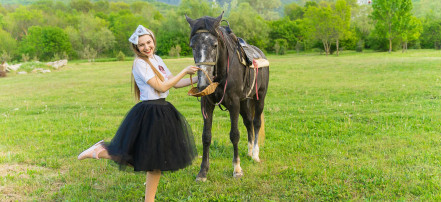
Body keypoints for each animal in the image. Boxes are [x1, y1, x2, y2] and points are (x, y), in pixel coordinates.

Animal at [185, 12, 270, 181]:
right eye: (192, 46)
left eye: (214, 45)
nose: (203, 83)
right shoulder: (207, 104)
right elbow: (206, 136)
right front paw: (203, 172)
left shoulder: (234, 104)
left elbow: (234, 135)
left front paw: (237, 169)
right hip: (245, 102)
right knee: (248, 122)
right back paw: (249, 152)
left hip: (259, 98)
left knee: (256, 123)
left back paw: (255, 154)